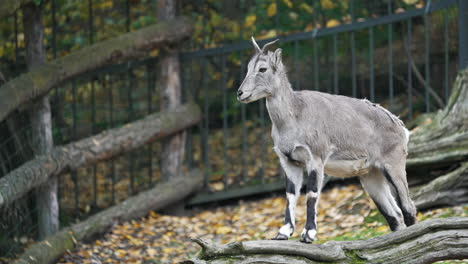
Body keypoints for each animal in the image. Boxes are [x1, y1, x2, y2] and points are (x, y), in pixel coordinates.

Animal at [238, 37, 416, 243]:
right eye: (248, 67)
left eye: (263, 69)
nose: (240, 93)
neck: (294, 116)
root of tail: (401, 126)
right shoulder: (289, 161)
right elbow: (290, 194)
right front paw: (282, 233)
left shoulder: (315, 157)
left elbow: (312, 193)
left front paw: (308, 234)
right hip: (371, 174)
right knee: (394, 215)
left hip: (394, 164)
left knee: (408, 206)